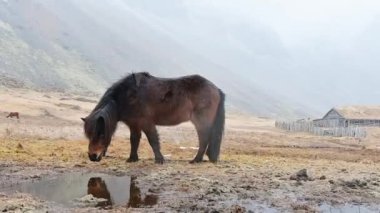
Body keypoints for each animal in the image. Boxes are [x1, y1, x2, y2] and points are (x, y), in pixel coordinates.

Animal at [82, 72, 224, 164]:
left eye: (101, 134)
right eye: (89, 135)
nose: (92, 156)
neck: (127, 96)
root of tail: (216, 89)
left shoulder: (146, 123)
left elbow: (153, 140)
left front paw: (159, 159)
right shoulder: (134, 124)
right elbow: (134, 140)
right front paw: (132, 158)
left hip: (201, 122)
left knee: (203, 139)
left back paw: (196, 160)